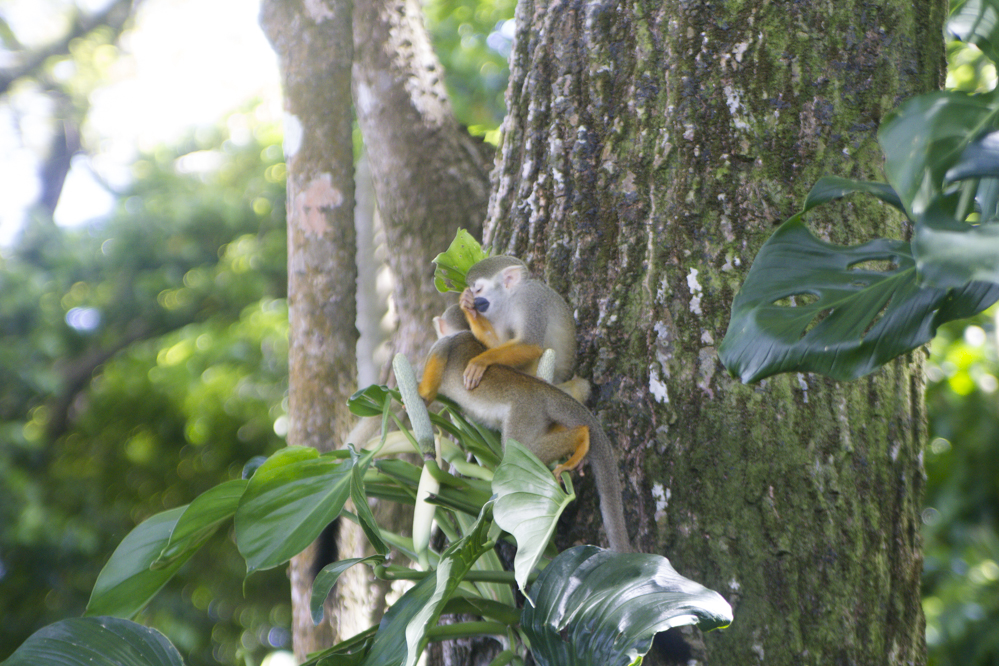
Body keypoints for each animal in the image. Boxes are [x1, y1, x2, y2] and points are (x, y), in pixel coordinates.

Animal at [418, 304, 628, 548]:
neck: (462, 333)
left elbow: (430, 386)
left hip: (524, 412)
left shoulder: (441, 345)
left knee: (520, 448)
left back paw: (582, 438)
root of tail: (540, 389)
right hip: (538, 416)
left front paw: (417, 398)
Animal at [460, 254, 580, 390]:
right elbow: (499, 343)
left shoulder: (531, 299)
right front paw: (468, 306)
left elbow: (531, 345)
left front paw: (480, 361)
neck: (512, 297)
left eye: (478, 290)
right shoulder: (497, 311)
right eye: (472, 291)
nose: (475, 302)